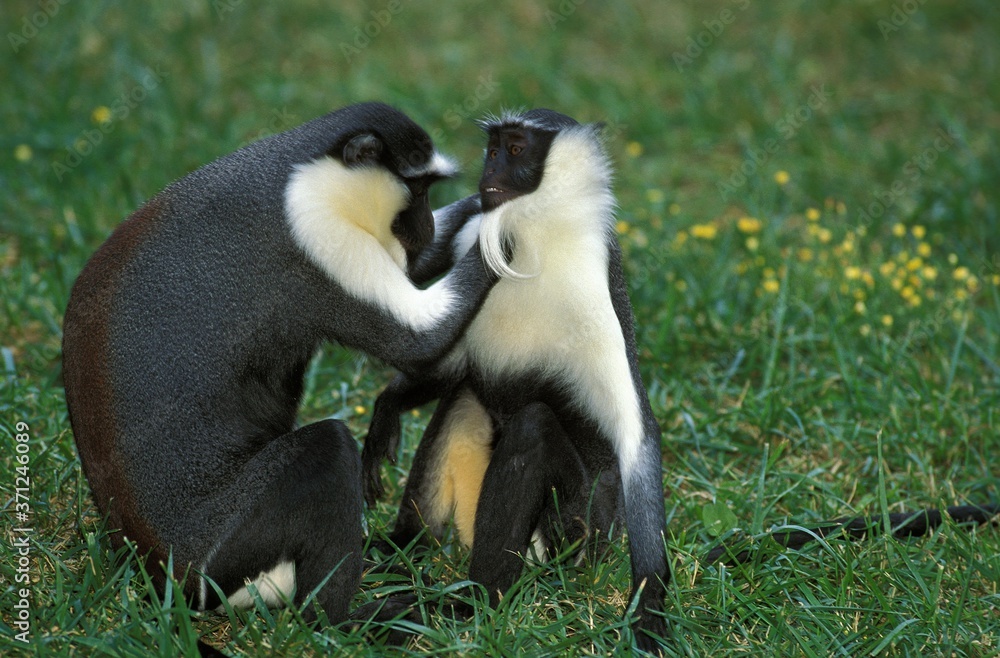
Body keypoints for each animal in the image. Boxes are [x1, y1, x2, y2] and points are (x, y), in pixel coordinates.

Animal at [61, 102, 505, 627]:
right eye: (415, 189)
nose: (425, 230)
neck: (304, 169)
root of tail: (166, 574)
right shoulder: (318, 232)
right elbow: (419, 339)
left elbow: (414, 275)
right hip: (230, 548)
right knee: (327, 447)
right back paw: (343, 619)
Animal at [361, 109, 670, 652]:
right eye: (492, 149)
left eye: (517, 149)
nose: (489, 173)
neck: (533, 233)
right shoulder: (474, 228)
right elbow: (455, 363)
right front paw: (390, 405)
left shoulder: (593, 287)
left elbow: (636, 438)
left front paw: (649, 603)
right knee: (467, 398)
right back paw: (405, 546)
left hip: (572, 534)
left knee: (533, 427)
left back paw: (473, 601)